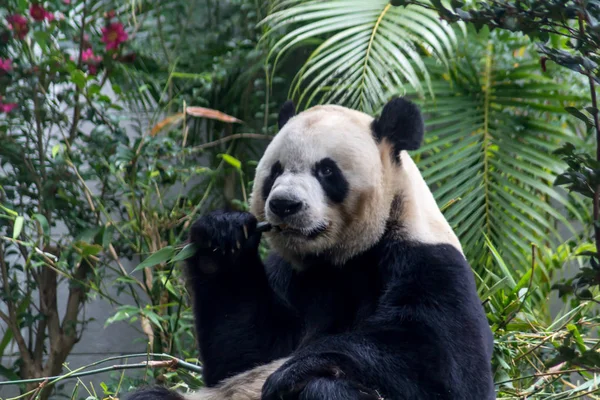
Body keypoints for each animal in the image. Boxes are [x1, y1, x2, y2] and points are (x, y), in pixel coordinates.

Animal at [129, 97, 494, 400]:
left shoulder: (429, 261)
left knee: (328, 390)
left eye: (327, 170)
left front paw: (295, 370)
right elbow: (243, 352)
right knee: (151, 397)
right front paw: (223, 235)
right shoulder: (291, 274)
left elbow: (445, 368)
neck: (341, 257)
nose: (284, 205)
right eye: (275, 170)